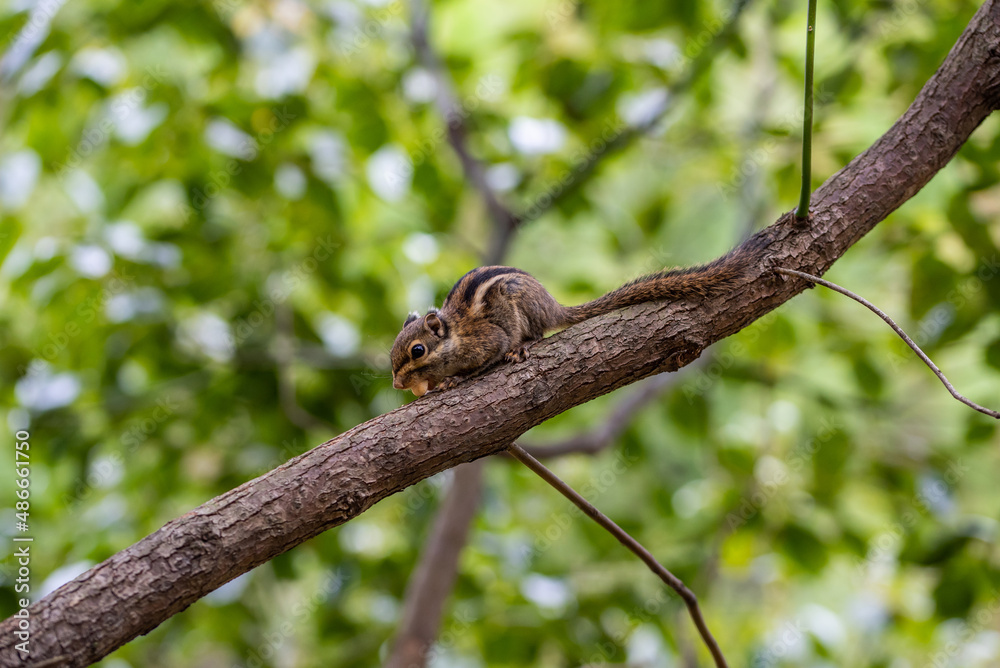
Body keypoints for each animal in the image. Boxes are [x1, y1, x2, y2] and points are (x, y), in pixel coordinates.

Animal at [392, 237, 764, 396]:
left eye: (417, 351)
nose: (396, 384)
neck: (454, 336)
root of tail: (553, 305)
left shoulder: (487, 340)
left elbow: (487, 356)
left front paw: (456, 378)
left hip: (520, 304)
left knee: (534, 335)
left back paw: (522, 346)